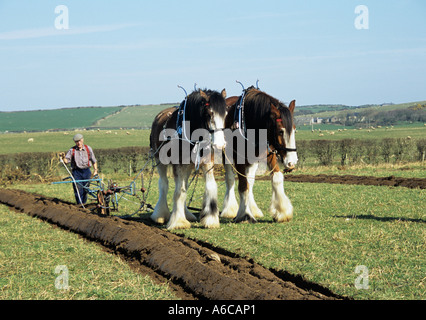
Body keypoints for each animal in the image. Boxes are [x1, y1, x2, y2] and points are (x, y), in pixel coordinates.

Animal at [151, 88, 230, 230]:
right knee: (164, 184)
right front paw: (178, 222)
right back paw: (160, 215)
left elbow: (210, 186)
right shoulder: (179, 164)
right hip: (160, 161)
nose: (220, 144)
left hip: (187, 166)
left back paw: (186, 214)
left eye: (225, 113)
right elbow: (179, 192)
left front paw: (210, 219)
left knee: (184, 185)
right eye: (209, 113)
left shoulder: (206, 162)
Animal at [223, 87, 296, 222]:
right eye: (280, 131)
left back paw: (253, 208)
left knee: (250, 180)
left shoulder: (269, 153)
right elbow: (243, 185)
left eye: (294, 129)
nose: (291, 162)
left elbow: (276, 177)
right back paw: (230, 209)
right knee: (230, 178)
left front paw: (282, 212)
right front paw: (245, 214)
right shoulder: (238, 158)